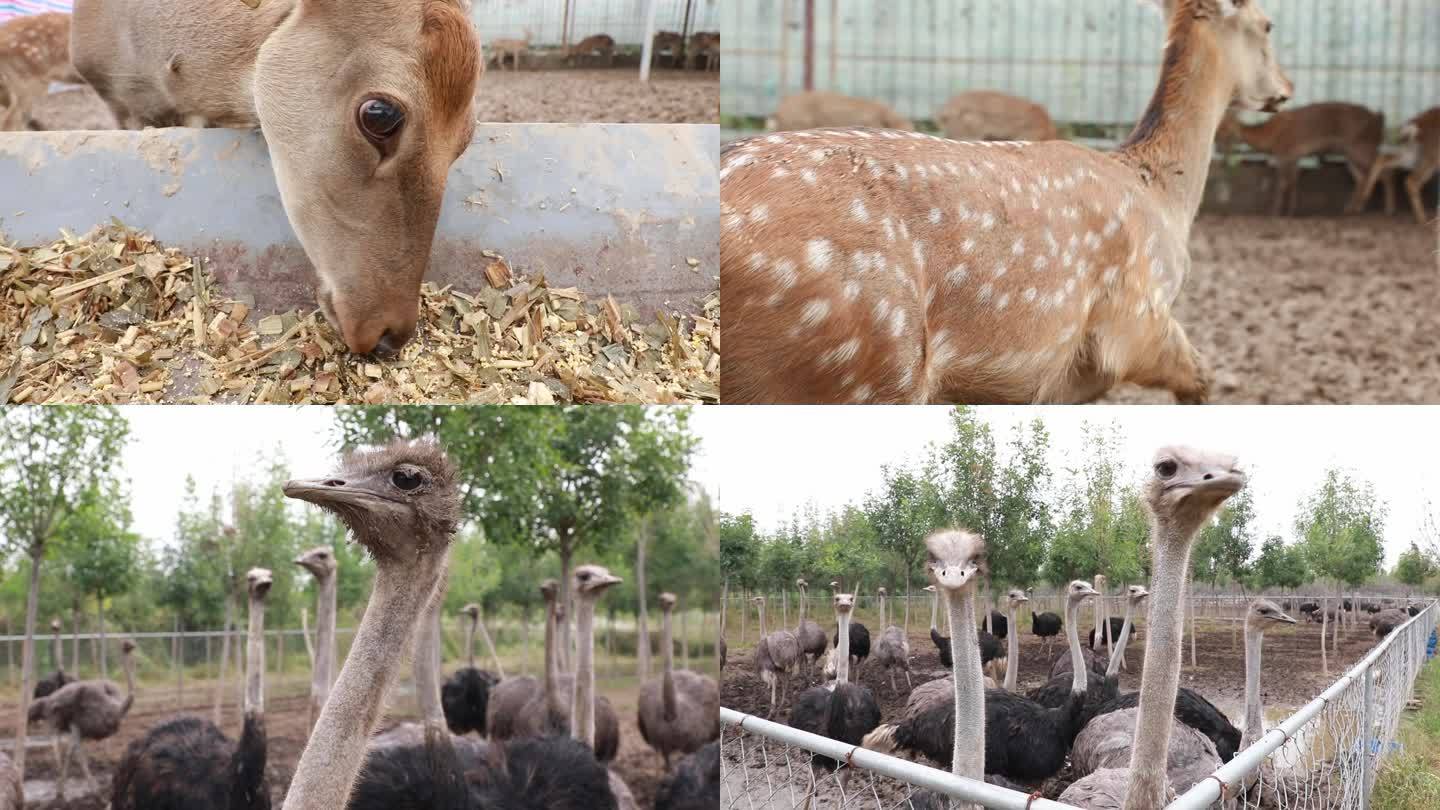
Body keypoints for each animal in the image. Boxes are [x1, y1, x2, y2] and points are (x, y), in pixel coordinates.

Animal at [1221, 102, 1388, 219]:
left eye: (1225, 124)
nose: (1219, 141)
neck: (1269, 138)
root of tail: (1379, 120)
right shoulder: (1295, 157)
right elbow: (1293, 182)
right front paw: (1291, 212)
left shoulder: (1286, 154)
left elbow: (1282, 184)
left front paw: (1274, 213)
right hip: (1350, 152)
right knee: (1361, 177)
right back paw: (1351, 209)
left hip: (1360, 147)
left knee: (1383, 164)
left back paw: (1383, 209)